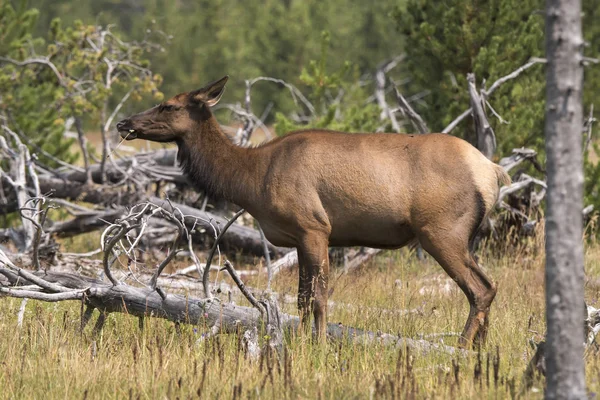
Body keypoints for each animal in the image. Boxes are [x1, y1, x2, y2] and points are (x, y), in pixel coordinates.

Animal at [117, 76, 510, 348]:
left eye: (169, 106)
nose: (124, 123)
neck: (251, 180)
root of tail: (493, 171)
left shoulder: (314, 227)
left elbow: (319, 299)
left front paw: (318, 347)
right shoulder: (297, 238)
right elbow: (303, 299)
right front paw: (301, 342)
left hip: (441, 230)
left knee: (480, 290)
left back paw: (461, 349)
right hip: (461, 236)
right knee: (488, 287)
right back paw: (480, 352)